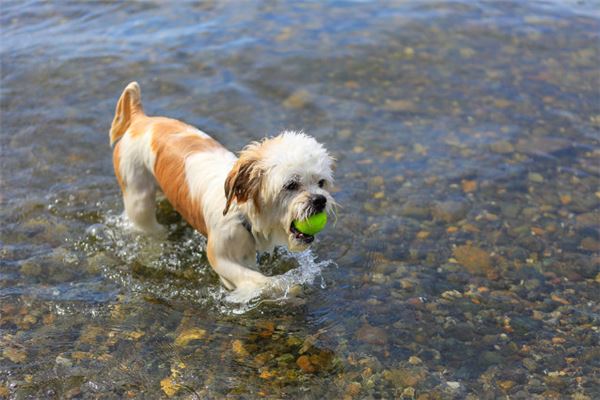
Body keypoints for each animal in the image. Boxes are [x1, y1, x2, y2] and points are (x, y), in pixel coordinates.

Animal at [108, 82, 332, 296]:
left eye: (321, 183)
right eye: (291, 185)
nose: (320, 200)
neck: (241, 214)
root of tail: (140, 120)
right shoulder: (222, 257)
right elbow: (260, 280)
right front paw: (286, 287)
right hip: (137, 196)